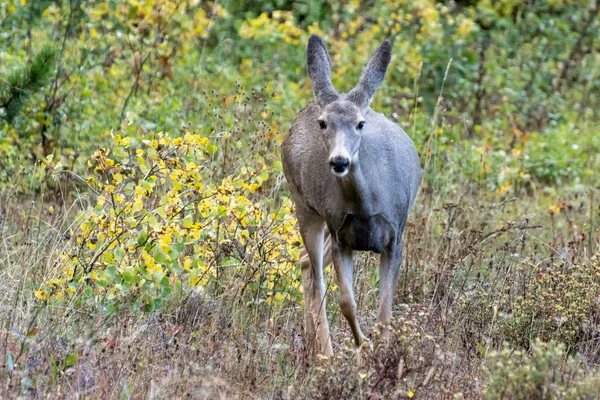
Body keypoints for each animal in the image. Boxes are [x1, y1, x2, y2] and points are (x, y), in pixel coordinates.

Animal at [282, 35, 422, 356]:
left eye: (360, 123)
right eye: (323, 123)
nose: (339, 161)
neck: (366, 207)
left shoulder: (396, 237)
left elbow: (385, 314)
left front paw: (378, 354)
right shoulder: (340, 236)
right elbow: (347, 302)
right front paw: (364, 348)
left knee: (305, 260)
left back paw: (312, 343)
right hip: (304, 205)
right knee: (316, 276)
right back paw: (324, 351)